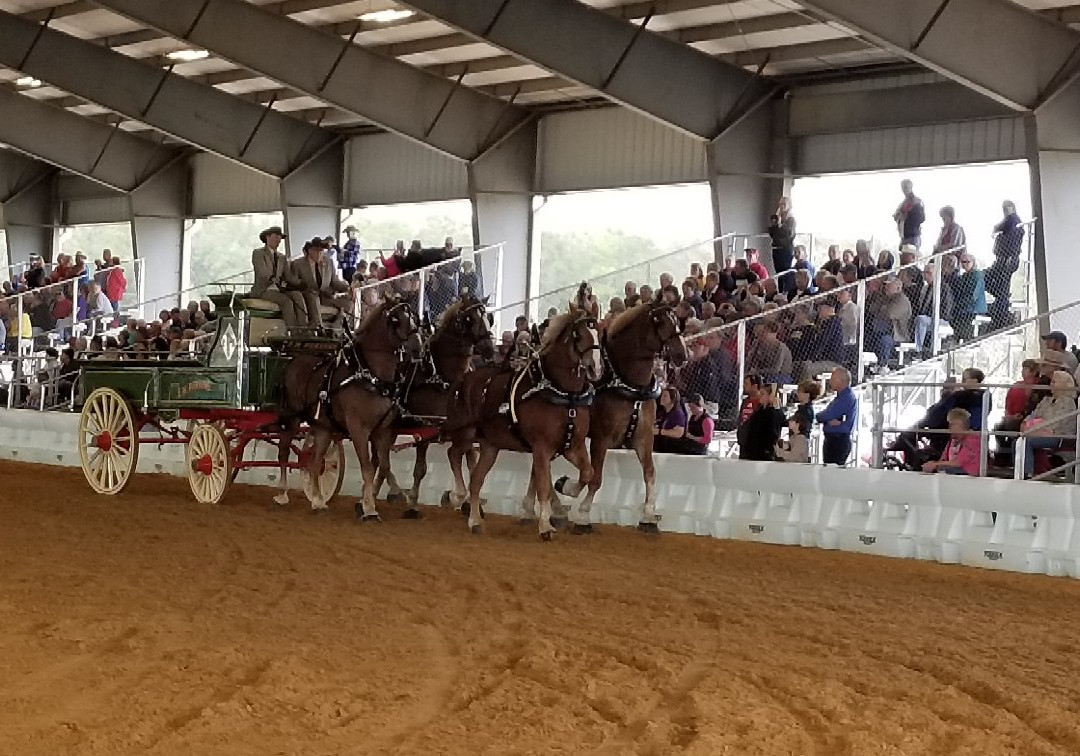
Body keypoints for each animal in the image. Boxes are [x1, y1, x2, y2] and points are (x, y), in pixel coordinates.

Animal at [275, 295, 422, 518]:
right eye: (395, 319)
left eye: (413, 316)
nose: (418, 347)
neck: (370, 376)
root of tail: (292, 362)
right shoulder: (358, 429)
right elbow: (367, 467)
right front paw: (369, 508)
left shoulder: (383, 430)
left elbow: (384, 465)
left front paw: (395, 495)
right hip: (292, 418)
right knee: (283, 450)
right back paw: (283, 494)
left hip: (323, 428)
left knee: (315, 461)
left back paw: (318, 500)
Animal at [373, 294, 495, 514]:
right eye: (470, 319)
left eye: (487, 317)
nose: (490, 348)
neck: (445, 377)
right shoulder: (425, 426)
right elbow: (420, 469)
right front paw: (414, 501)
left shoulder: (464, 428)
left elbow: (471, 461)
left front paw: (468, 502)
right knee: (379, 457)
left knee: (381, 457)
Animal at [442, 305, 603, 539]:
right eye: (578, 334)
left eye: (600, 331)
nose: (596, 368)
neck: (564, 395)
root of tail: (464, 379)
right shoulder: (541, 448)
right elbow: (543, 485)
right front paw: (545, 525)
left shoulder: (573, 446)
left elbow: (588, 473)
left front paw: (566, 487)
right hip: (465, 433)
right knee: (453, 454)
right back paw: (458, 496)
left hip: (490, 445)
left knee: (476, 480)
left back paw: (475, 521)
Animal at [520, 298, 688, 534]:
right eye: (659, 320)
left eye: (676, 319)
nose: (682, 354)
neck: (630, 383)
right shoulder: (601, 439)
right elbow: (595, 477)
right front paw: (582, 515)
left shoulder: (644, 437)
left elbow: (650, 473)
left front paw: (648, 516)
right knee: (540, 469)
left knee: (538, 470)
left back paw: (540, 509)